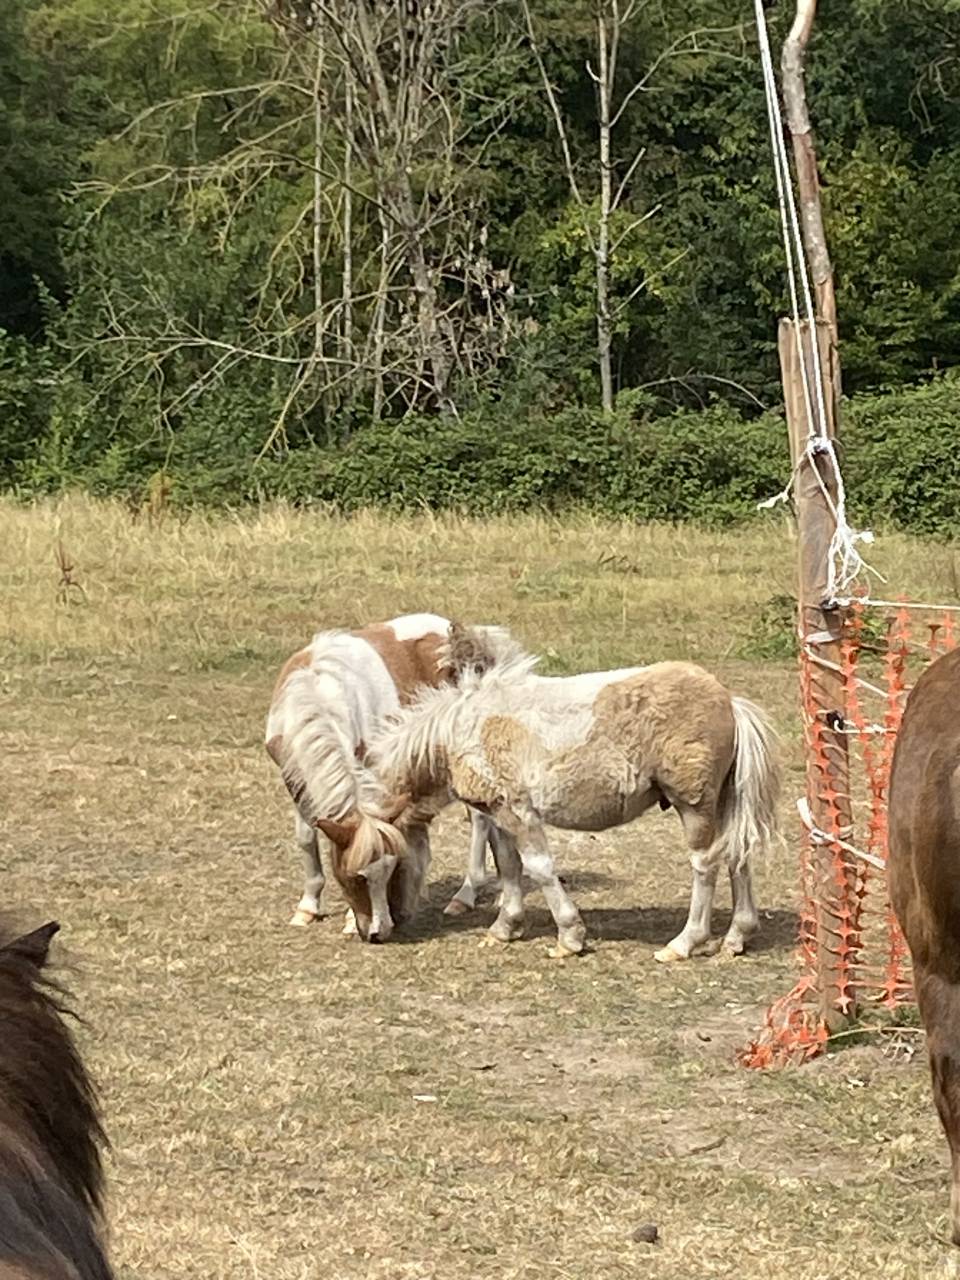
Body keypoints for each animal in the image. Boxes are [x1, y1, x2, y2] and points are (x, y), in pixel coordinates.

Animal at [266, 614, 518, 941]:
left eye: (391, 871)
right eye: (354, 877)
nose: (378, 932)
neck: (318, 697)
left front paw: (348, 920)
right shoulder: (296, 777)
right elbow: (306, 837)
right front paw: (307, 908)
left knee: (479, 820)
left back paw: (465, 895)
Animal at [364, 649, 780, 958]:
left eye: (384, 868)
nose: (373, 933)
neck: (462, 729)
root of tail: (730, 701)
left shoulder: (520, 811)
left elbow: (539, 867)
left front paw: (569, 936)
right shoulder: (497, 812)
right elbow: (508, 865)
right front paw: (505, 927)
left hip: (693, 803)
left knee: (706, 862)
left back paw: (683, 943)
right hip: (723, 800)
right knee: (737, 854)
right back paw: (736, 937)